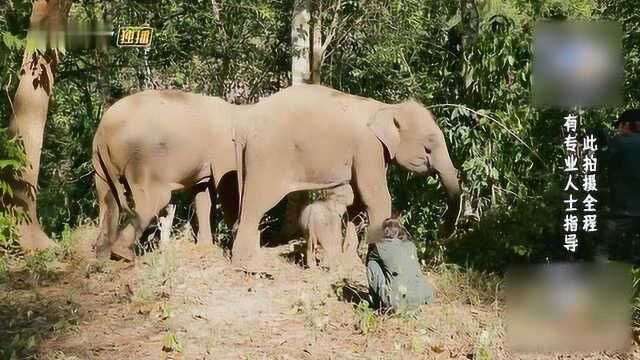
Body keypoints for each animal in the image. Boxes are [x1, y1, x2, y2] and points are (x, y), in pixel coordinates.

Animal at [90, 89, 240, 258]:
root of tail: (103, 131)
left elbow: (202, 193)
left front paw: (205, 248)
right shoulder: (224, 151)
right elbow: (228, 190)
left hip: (99, 163)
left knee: (107, 198)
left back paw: (101, 254)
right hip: (142, 159)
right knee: (157, 198)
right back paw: (123, 253)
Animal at [232, 84, 462, 270]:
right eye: (428, 146)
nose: (443, 234)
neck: (387, 107)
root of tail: (244, 127)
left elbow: (357, 201)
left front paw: (350, 263)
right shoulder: (368, 147)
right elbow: (375, 197)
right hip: (267, 158)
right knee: (256, 205)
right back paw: (246, 264)